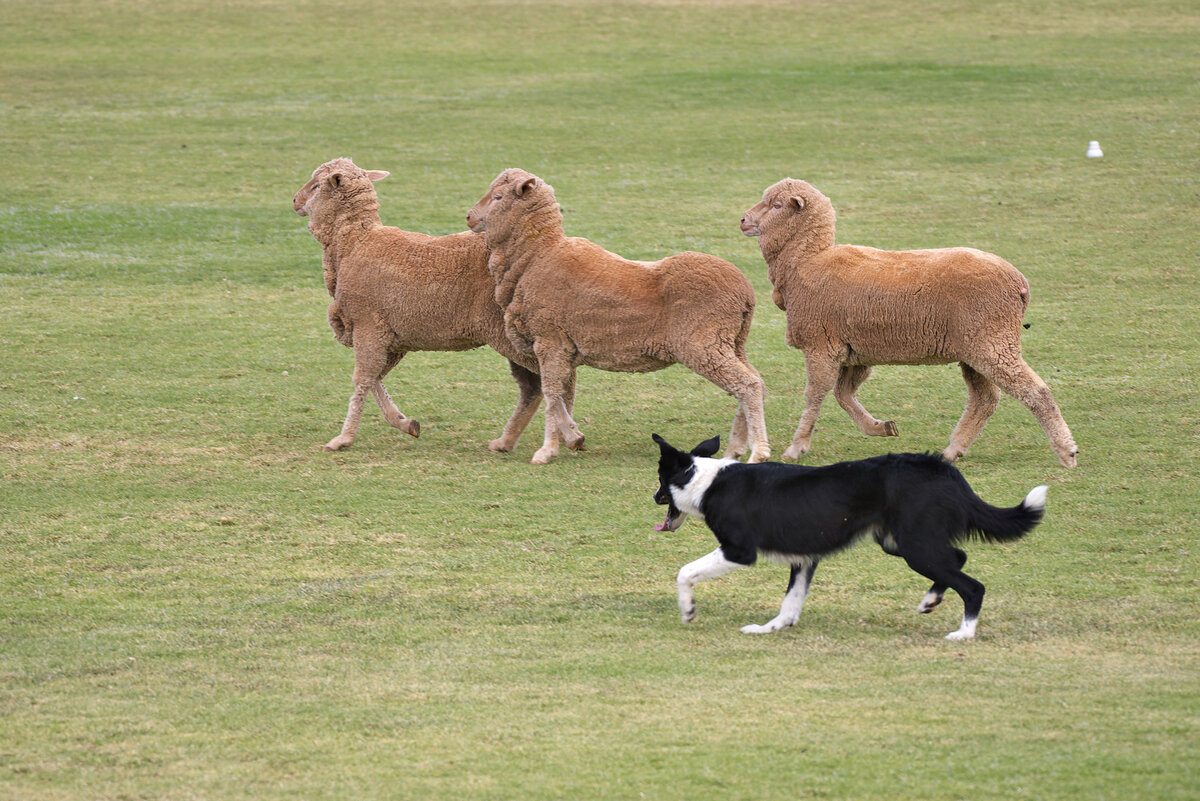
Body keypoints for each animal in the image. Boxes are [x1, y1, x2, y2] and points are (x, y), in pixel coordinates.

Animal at [292, 158, 547, 453]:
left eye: (317, 184)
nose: (295, 200)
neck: (354, 243)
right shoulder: (391, 336)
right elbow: (375, 379)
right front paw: (405, 423)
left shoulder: (368, 325)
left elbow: (362, 380)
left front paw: (343, 438)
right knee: (534, 385)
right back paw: (512, 440)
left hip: (511, 334)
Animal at [468, 170, 768, 470]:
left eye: (498, 197)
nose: (469, 217)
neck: (536, 255)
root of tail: (745, 292)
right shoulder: (560, 348)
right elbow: (559, 394)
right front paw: (572, 437)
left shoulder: (549, 340)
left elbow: (551, 394)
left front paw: (546, 450)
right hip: (731, 341)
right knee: (755, 383)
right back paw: (735, 450)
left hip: (704, 343)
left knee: (748, 386)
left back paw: (759, 452)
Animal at [652, 434, 1046, 642]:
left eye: (659, 481)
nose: (653, 498)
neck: (704, 479)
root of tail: (942, 468)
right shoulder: (805, 559)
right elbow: (791, 602)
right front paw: (772, 628)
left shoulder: (738, 550)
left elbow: (685, 572)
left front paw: (688, 610)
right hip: (900, 542)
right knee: (958, 558)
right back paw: (930, 601)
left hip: (914, 547)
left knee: (973, 585)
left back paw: (963, 633)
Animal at [739, 179, 1080, 470]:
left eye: (777, 205)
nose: (743, 220)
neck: (805, 261)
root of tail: (1019, 282)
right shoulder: (855, 353)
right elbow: (843, 395)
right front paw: (880, 427)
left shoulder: (821, 345)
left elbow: (816, 395)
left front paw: (797, 447)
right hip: (975, 349)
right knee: (984, 400)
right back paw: (953, 450)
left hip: (992, 341)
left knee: (1035, 392)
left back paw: (1066, 452)